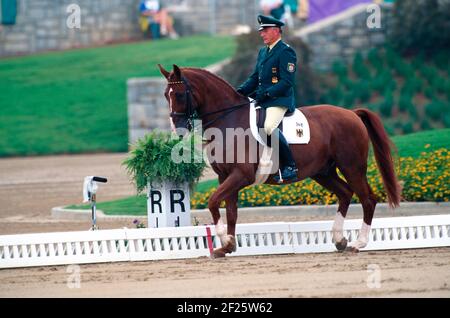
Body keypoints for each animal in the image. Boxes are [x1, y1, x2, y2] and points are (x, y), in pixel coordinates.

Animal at [158, 63, 400, 258]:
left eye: (179, 95)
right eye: (165, 95)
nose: (177, 130)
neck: (228, 120)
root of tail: (351, 113)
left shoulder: (240, 176)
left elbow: (213, 202)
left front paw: (225, 241)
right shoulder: (225, 176)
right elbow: (231, 211)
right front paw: (227, 246)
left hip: (352, 167)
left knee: (367, 199)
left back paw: (358, 243)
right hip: (323, 172)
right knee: (345, 194)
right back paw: (340, 240)